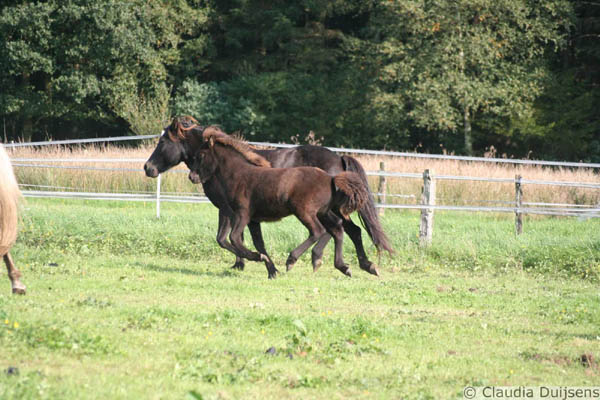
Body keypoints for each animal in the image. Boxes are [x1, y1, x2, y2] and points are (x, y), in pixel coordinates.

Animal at [191, 133, 370, 280]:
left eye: (201, 155)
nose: (192, 177)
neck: (239, 175)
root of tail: (331, 179)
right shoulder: (240, 216)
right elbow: (234, 240)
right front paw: (267, 268)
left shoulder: (243, 214)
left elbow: (234, 238)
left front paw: (258, 258)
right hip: (323, 212)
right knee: (337, 229)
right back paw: (343, 266)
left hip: (304, 212)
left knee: (318, 231)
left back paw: (292, 260)